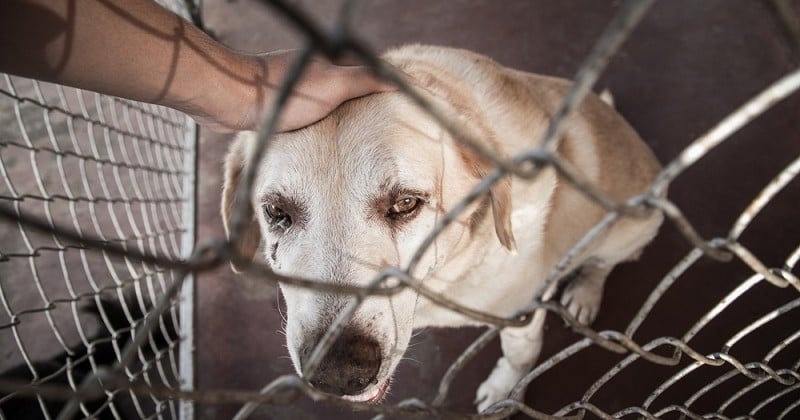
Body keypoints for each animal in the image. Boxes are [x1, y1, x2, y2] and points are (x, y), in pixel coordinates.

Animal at [220, 44, 664, 412]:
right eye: (276, 211)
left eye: (405, 203)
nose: (338, 373)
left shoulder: (522, 316)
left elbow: (519, 356)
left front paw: (503, 390)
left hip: (632, 228)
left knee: (603, 263)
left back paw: (585, 292)